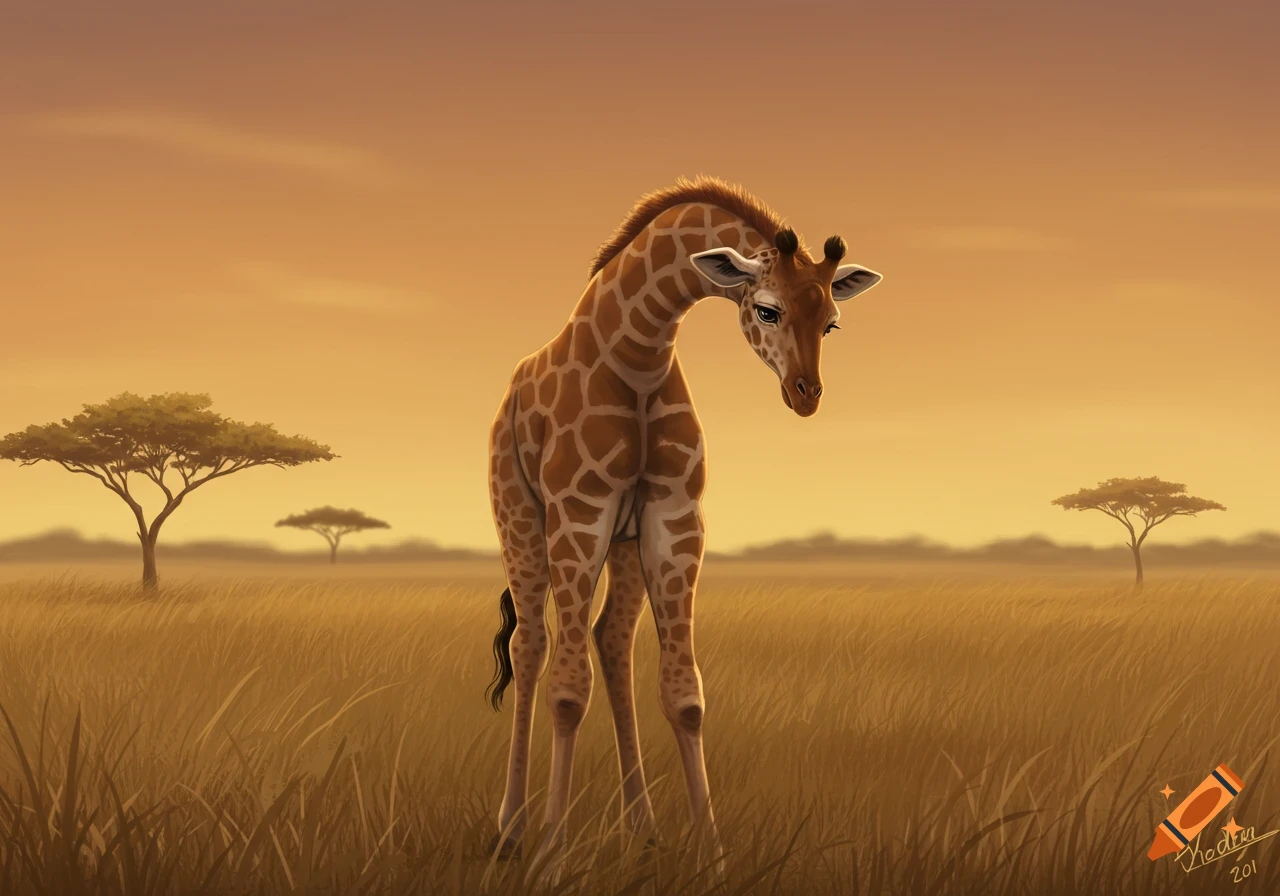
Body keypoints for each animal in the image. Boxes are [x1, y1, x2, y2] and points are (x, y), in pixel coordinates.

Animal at [484, 176, 882, 864]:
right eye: (767, 310)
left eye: (831, 322)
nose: (805, 394)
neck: (638, 350)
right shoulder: (580, 514)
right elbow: (568, 691)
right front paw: (553, 855)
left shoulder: (674, 520)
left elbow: (685, 695)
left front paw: (711, 852)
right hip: (522, 519)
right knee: (532, 645)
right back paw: (513, 829)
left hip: (622, 544)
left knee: (611, 639)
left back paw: (640, 825)